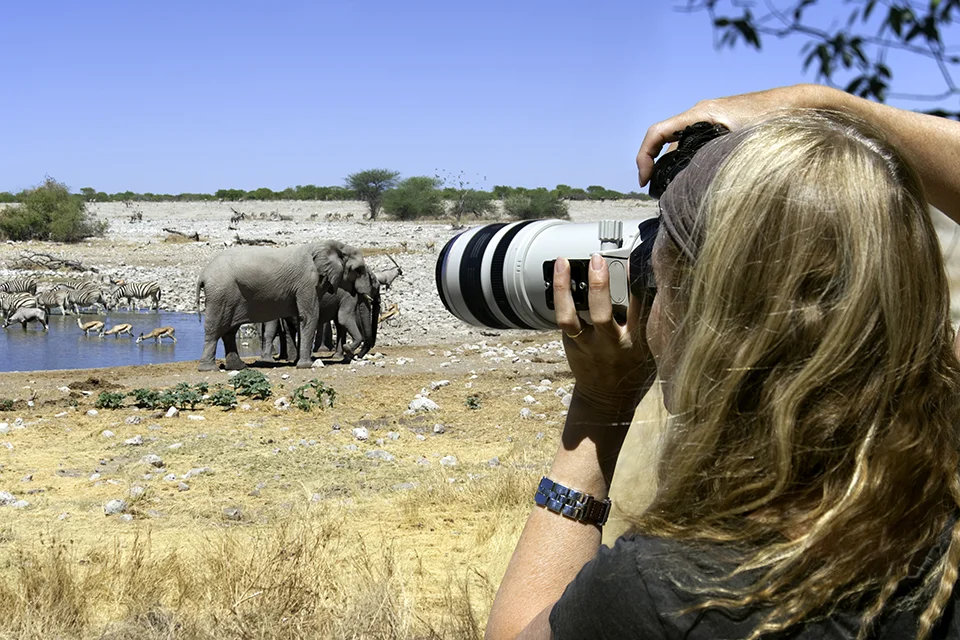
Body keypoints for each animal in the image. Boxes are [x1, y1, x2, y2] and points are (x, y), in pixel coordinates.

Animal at [195, 240, 373, 371]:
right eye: (358, 270)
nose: (350, 350)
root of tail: (203, 274)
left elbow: (303, 319)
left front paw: (299, 363)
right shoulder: (307, 283)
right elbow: (310, 316)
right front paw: (306, 366)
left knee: (230, 331)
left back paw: (239, 367)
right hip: (221, 293)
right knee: (215, 328)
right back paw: (209, 369)